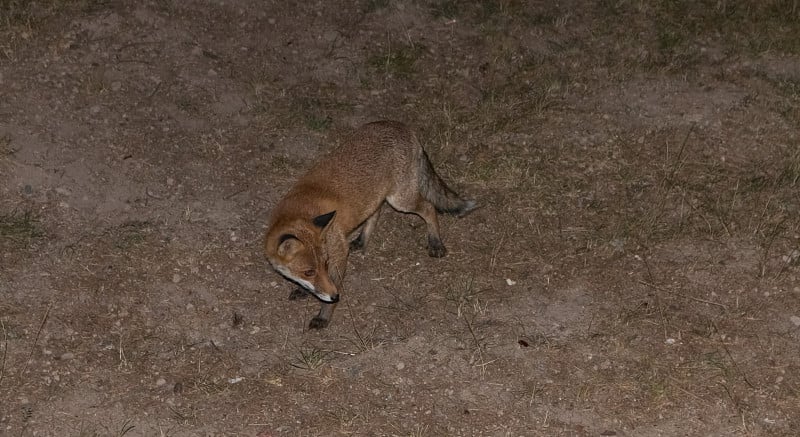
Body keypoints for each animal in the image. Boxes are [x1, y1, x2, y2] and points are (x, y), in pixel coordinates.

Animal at [264, 119, 476, 328]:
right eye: (309, 272)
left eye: (325, 263)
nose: (335, 297)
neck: (298, 211)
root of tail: (400, 125)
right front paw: (304, 291)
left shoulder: (339, 252)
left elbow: (332, 283)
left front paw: (324, 316)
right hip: (379, 197)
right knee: (376, 212)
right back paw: (362, 240)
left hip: (401, 200)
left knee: (429, 207)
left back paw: (435, 242)